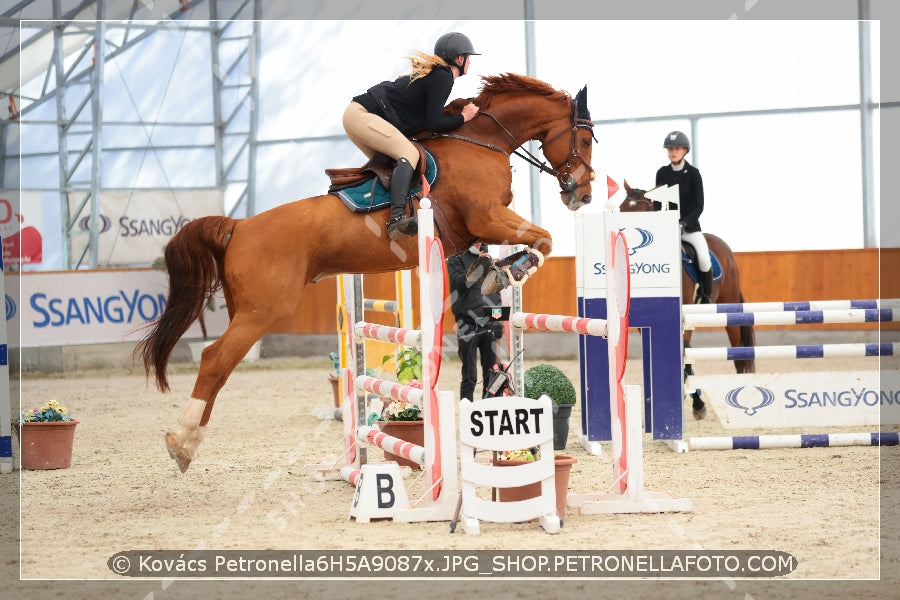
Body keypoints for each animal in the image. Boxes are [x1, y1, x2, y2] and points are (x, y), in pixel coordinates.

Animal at [135, 72, 596, 472]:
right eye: (588, 138)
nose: (585, 194)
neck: (483, 141)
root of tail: (239, 225)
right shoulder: (487, 217)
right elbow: (543, 238)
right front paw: (511, 270)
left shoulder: (477, 229)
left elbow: (514, 247)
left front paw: (492, 270)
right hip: (263, 311)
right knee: (214, 359)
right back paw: (183, 442)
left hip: (244, 307)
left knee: (220, 364)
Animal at [620, 180, 752, 420]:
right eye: (621, 209)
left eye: (644, 210)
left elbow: (684, 355)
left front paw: (694, 403)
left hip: (727, 308)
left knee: (738, 351)